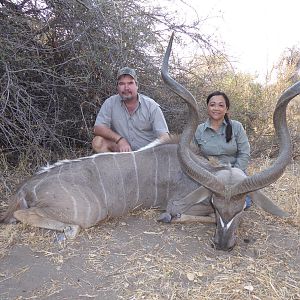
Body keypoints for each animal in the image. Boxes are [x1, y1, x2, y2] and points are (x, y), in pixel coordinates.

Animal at [0, 32, 296, 250]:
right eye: (215, 204)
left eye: (239, 209)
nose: (222, 245)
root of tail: (25, 188)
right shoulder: (180, 202)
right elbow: (181, 214)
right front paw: (168, 217)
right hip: (86, 213)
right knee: (26, 216)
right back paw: (65, 231)